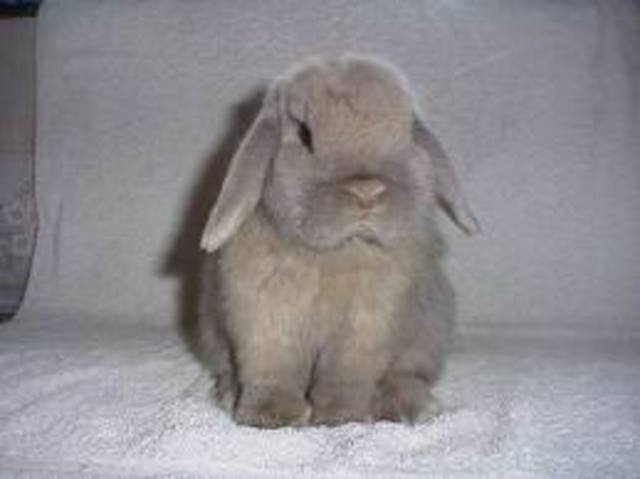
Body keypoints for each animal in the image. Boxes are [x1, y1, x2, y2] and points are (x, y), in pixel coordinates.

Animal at [198, 54, 478, 428]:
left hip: (428, 331)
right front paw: (271, 417)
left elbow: (346, 375)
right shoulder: (267, 318)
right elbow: (272, 368)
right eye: (304, 134)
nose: (367, 191)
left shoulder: (367, 327)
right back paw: (229, 394)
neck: (336, 252)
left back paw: (411, 407)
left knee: (406, 374)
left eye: (406, 132)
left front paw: (341, 417)